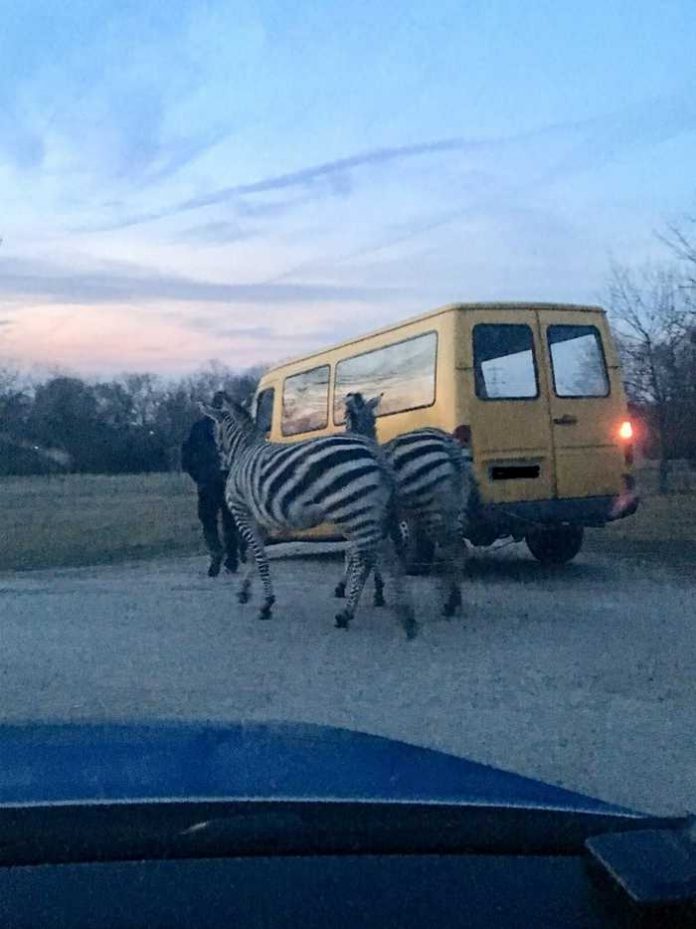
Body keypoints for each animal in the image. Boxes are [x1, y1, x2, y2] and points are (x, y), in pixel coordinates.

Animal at [201, 396, 418, 640]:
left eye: (213, 431)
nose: (220, 468)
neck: (245, 450)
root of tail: (374, 449)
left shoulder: (242, 512)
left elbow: (259, 557)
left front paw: (266, 603)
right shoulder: (260, 521)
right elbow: (255, 555)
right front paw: (245, 591)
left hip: (353, 509)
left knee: (368, 557)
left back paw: (353, 614)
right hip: (368, 510)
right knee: (382, 554)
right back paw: (400, 614)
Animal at [336, 392, 476, 616]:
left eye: (345, 417)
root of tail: (449, 444)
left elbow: (356, 552)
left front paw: (361, 590)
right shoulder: (384, 520)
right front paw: (379, 591)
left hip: (433, 507)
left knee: (452, 549)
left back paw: (449, 602)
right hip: (456, 506)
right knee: (459, 549)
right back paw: (454, 599)